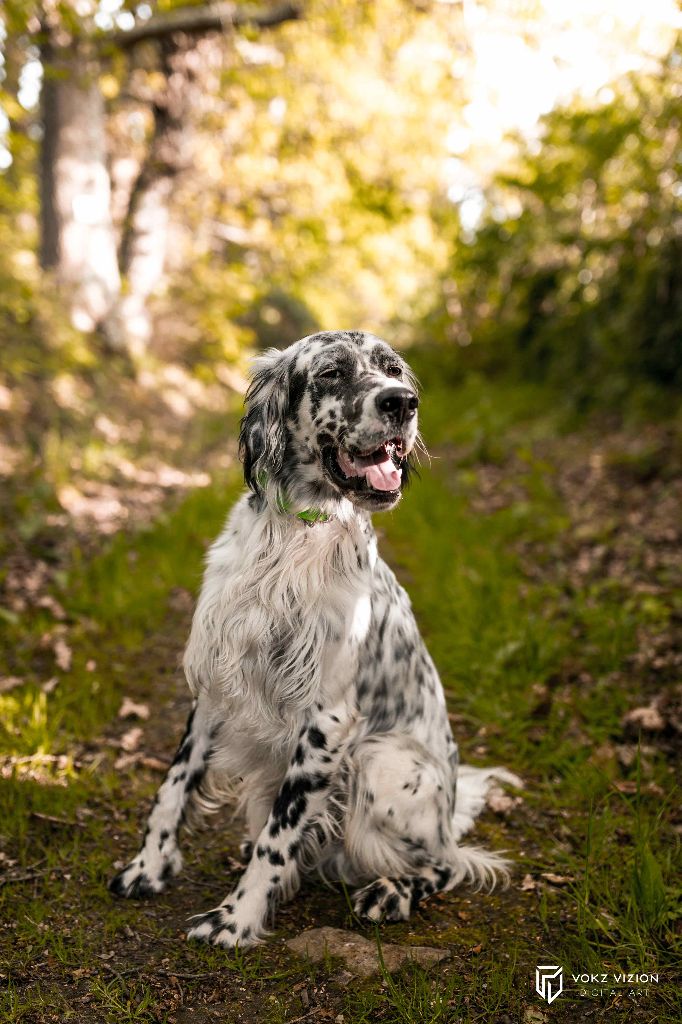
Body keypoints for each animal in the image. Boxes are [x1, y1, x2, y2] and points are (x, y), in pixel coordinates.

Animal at [109, 331, 518, 946]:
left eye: (393, 370)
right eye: (330, 373)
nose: (402, 403)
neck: (294, 536)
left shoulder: (328, 717)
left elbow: (279, 836)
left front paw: (237, 917)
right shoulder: (216, 682)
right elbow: (173, 784)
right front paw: (149, 866)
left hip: (381, 762)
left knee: (447, 863)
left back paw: (393, 892)